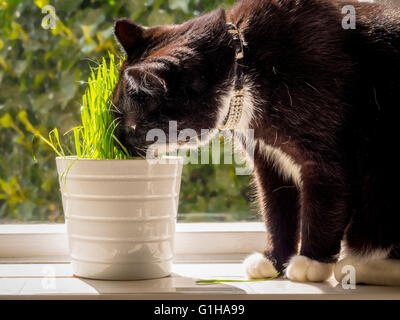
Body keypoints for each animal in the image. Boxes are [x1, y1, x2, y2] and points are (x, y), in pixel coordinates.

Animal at [111, 0, 400, 284]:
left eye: (129, 127)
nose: (116, 144)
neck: (242, 66)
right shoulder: (268, 158)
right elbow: (276, 207)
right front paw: (273, 260)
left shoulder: (327, 155)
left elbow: (326, 200)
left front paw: (311, 262)